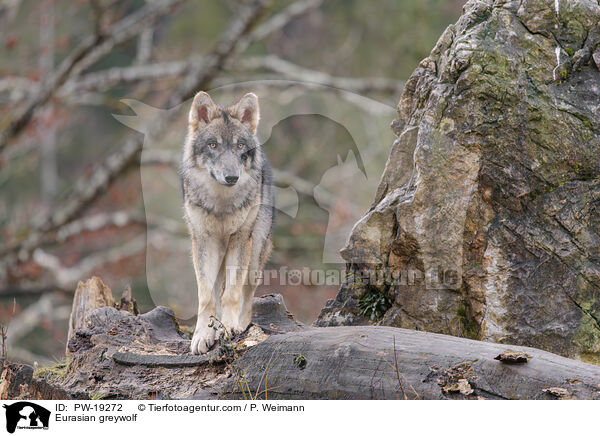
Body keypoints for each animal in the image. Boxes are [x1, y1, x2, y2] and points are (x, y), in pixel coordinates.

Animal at [178, 92, 272, 354]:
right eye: (213, 145)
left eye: (240, 146)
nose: (232, 177)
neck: (221, 203)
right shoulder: (203, 242)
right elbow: (206, 296)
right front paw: (202, 335)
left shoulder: (240, 239)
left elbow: (232, 293)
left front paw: (229, 327)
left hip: (255, 254)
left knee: (246, 295)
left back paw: (239, 325)